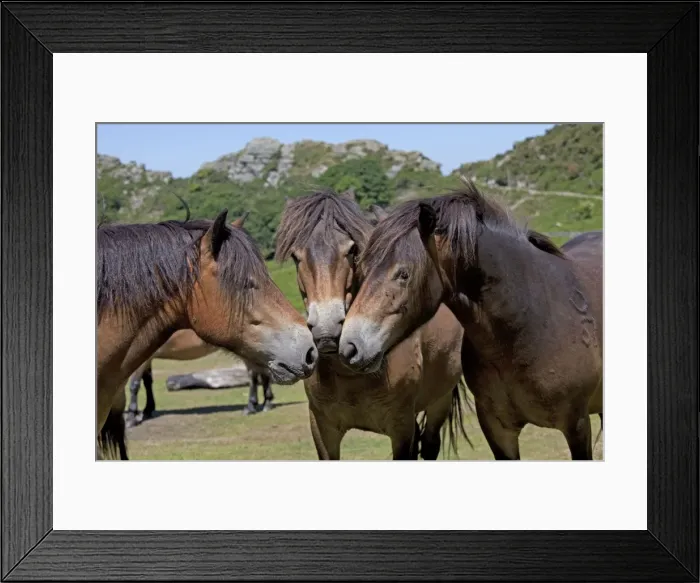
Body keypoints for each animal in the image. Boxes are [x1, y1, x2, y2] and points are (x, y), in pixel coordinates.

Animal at [97, 209, 319, 459]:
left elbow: (136, 385)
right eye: (246, 283)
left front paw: (136, 415)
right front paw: (145, 410)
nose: (309, 350)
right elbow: (144, 382)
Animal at [275, 190, 471, 460]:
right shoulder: (322, 429)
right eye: (296, 256)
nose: (326, 331)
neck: (351, 374)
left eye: (352, 250)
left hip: (439, 400)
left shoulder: (401, 428)